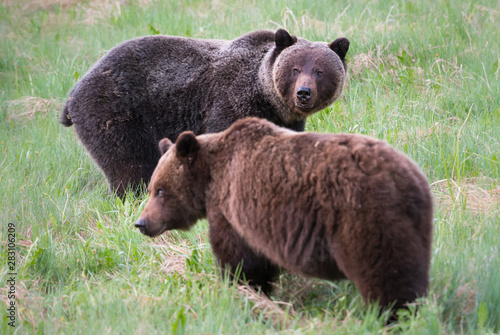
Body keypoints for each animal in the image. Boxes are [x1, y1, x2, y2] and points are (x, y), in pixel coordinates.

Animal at [60, 29, 350, 197]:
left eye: (320, 71)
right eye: (295, 68)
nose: (303, 93)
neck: (266, 97)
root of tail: (73, 92)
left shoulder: (286, 121)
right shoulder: (230, 101)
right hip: (116, 111)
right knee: (130, 164)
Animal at [136, 117, 434, 314]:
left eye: (160, 190)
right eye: (151, 188)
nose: (141, 222)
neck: (210, 179)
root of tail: (410, 181)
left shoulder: (230, 208)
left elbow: (239, 258)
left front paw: (243, 291)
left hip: (363, 217)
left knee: (385, 274)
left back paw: (392, 314)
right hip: (415, 226)